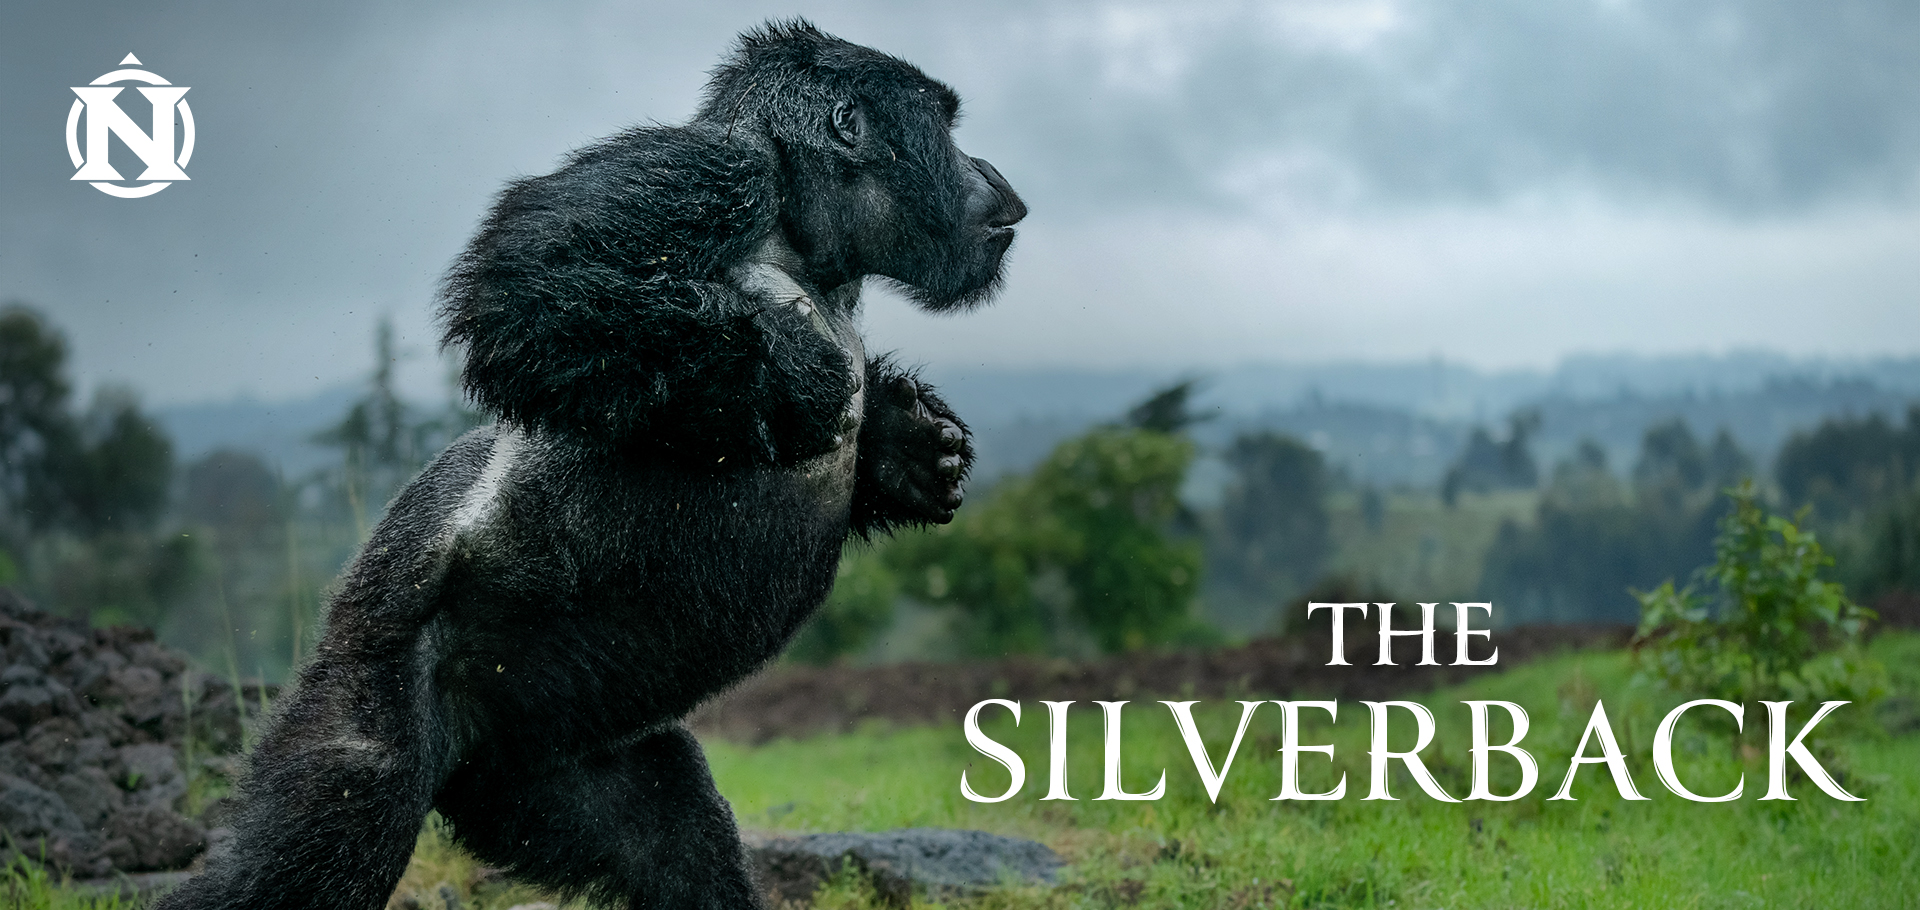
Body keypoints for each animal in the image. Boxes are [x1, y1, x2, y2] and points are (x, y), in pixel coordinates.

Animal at [152, 19, 1025, 910]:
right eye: (945, 125)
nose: (993, 175)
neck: (810, 242)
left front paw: (909, 445)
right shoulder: (703, 171)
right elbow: (533, 285)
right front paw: (795, 374)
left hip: (538, 764)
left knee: (675, 840)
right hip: (375, 673)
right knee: (327, 825)